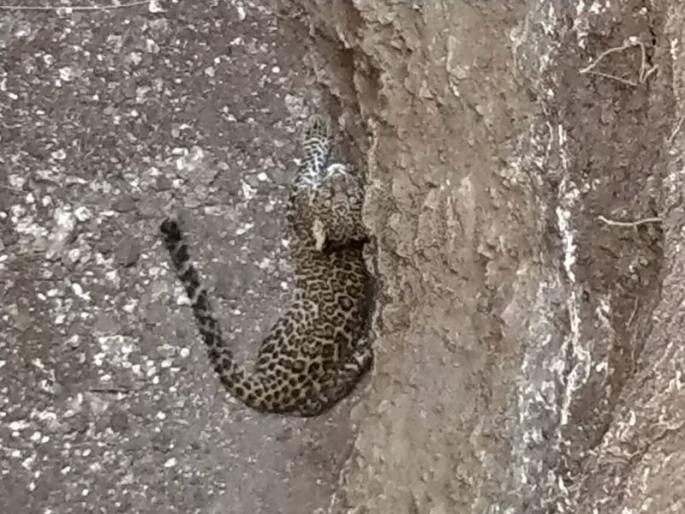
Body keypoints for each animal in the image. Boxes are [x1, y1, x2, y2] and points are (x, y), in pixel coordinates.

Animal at [160, 115, 373, 417]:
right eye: (338, 194)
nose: (340, 172)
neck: (341, 241)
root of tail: (272, 391)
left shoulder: (297, 198)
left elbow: (309, 161)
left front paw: (318, 128)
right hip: (324, 393)